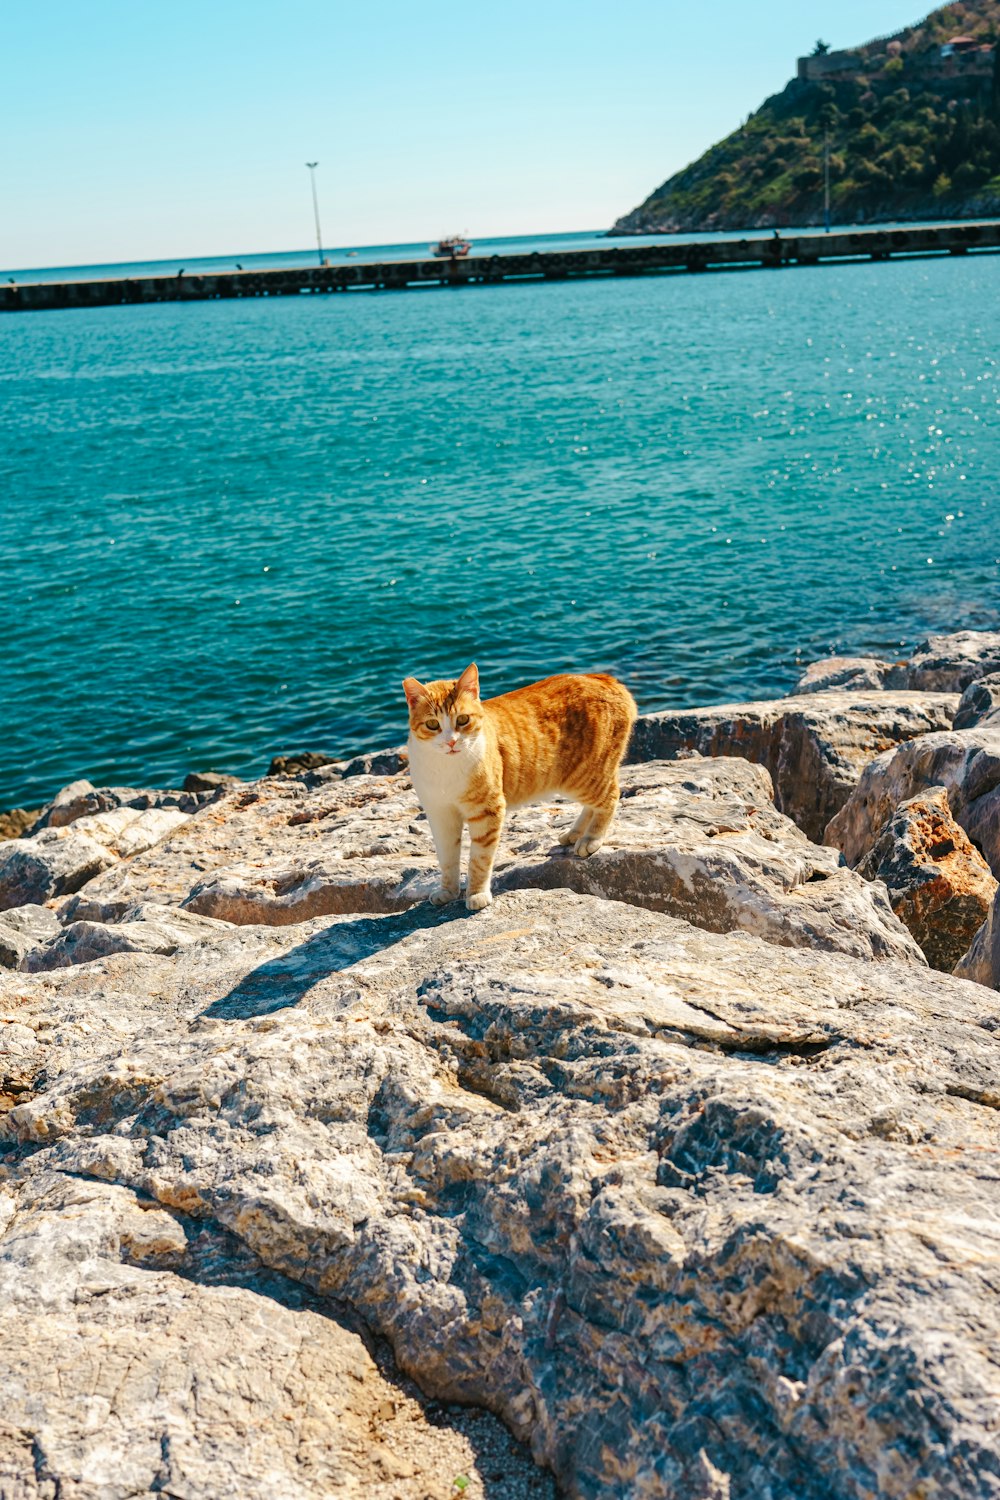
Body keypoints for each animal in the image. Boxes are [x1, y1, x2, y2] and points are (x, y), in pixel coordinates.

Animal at [401, 669, 638, 912]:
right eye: (432, 724)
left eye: (463, 719)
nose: (451, 742)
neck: (445, 768)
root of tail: (602, 677)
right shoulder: (440, 815)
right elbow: (447, 859)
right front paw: (448, 891)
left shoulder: (487, 811)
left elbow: (479, 859)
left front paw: (476, 894)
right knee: (593, 805)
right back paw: (574, 834)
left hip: (584, 776)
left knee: (610, 797)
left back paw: (591, 838)